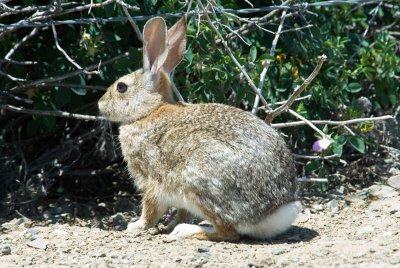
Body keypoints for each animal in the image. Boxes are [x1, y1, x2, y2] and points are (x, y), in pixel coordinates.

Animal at [99, 15, 300, 242]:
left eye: (121, 87)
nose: (100, 104)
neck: (148, 111)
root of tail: (273, 212)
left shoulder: (151, 181)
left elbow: (150, 210)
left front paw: (135, 226)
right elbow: (181, 211)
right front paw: (169, 224)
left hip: (201, 181)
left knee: (228, 233)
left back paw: (185, 231)